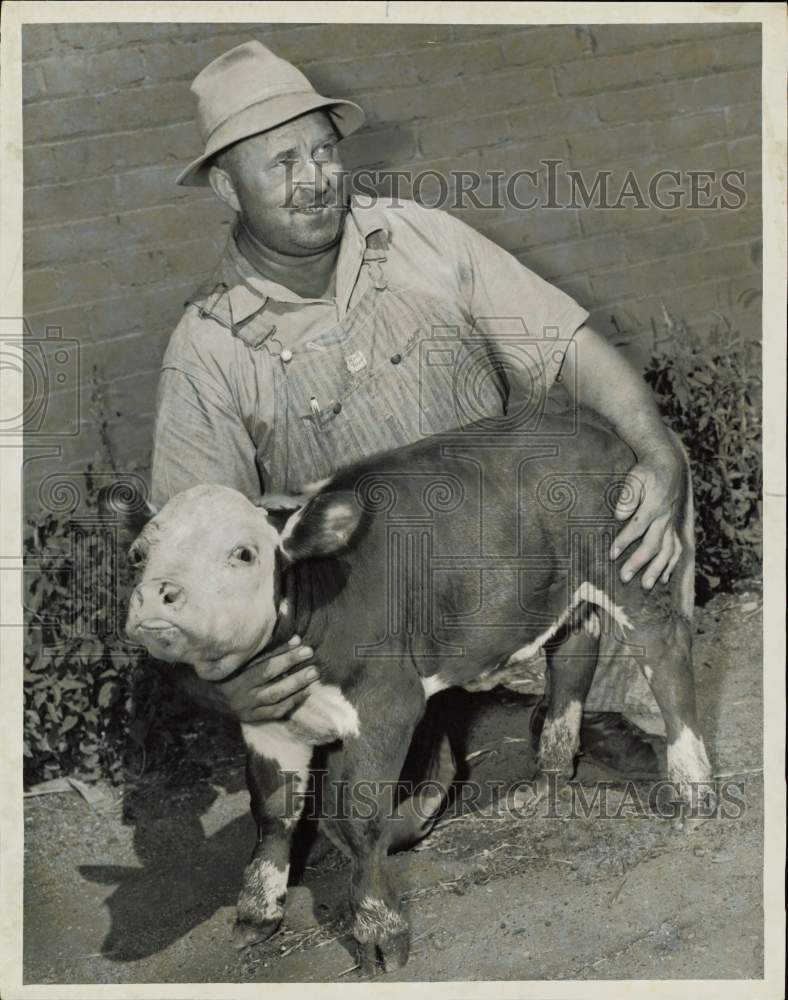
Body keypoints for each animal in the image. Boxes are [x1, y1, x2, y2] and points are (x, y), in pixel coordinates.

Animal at [126, 418, 712, 972]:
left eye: (244, 554)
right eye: (137, 555)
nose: (156, 594)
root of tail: (590, 427)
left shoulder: (387, 703)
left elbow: (358, 818)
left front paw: (379, 930)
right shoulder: (266, 720)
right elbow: (272, 811)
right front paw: (257, 912)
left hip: (627, 564)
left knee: (662, 647)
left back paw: (692, 789)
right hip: (562, 593)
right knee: (572, 657)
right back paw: (547, 777)